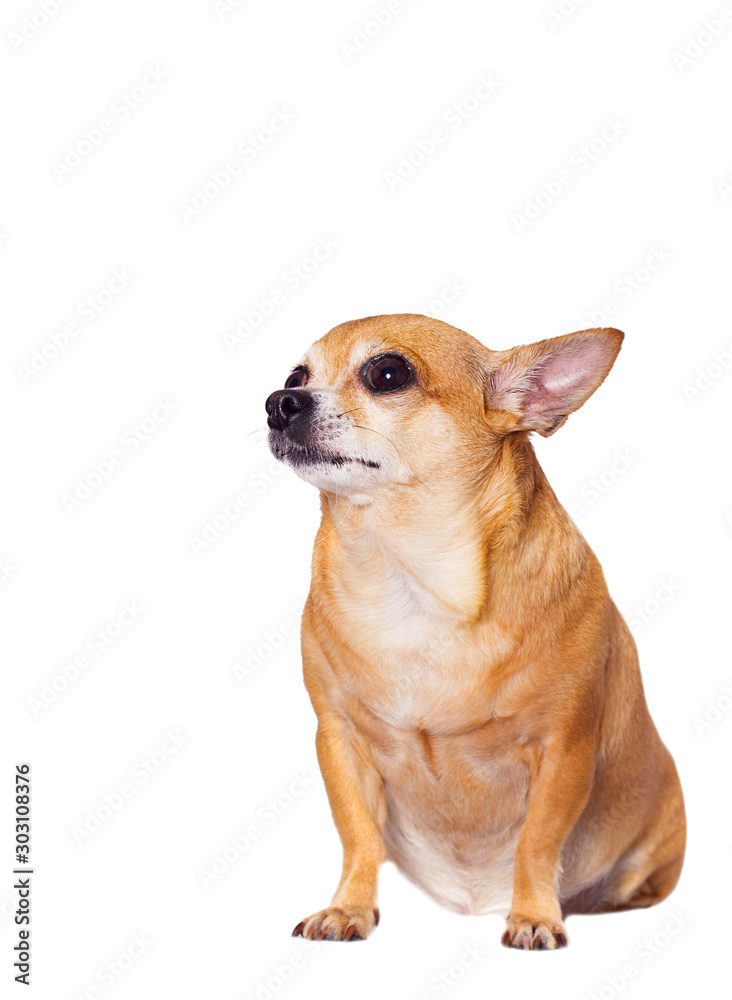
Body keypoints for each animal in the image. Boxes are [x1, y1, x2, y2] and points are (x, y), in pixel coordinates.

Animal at [264, 316, 688, 948]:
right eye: (297, 375)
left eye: (388, 374)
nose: (278, 401)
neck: (410, 582)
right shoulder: (339, 740)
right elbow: (357, 836)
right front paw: (348, 908)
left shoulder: (563, 749)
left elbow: (537, 841)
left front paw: (534, 915)